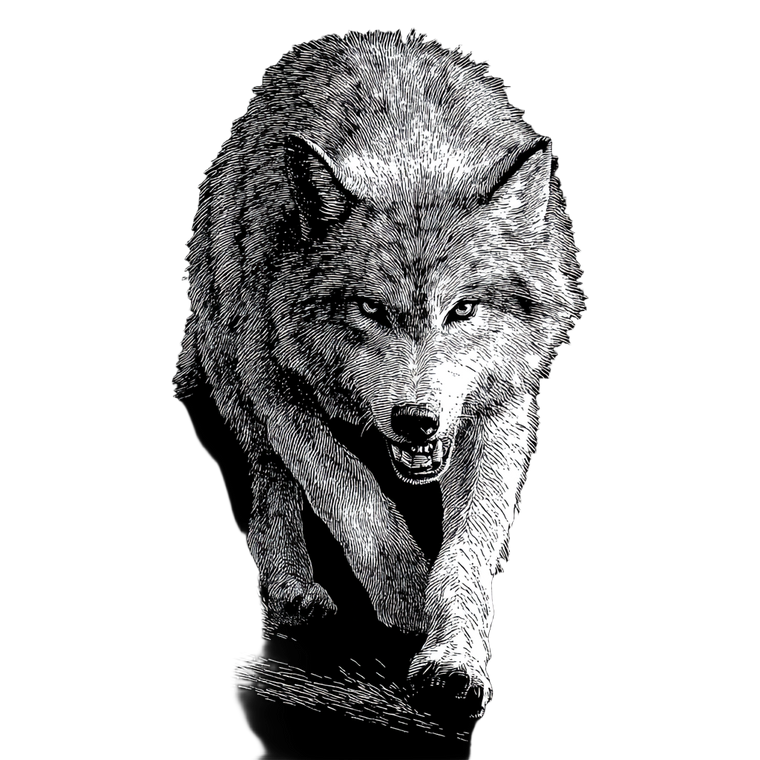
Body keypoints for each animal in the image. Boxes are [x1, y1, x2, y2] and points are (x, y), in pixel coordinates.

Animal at [173, 30, 585, 716]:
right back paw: (291, 599)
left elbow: (468, 549)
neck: (412, 148)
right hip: (235, 365)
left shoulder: (500, 410)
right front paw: (409, 600)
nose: (416, 422)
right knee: (269, 475)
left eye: (462, 309)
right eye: (370, 308)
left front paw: (452, 655)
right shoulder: (277, 386)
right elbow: (358, 502)